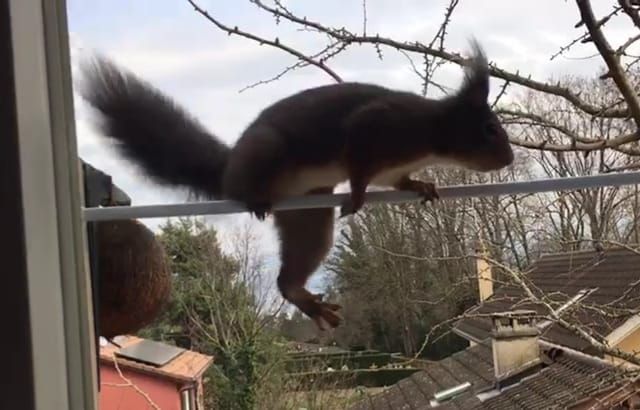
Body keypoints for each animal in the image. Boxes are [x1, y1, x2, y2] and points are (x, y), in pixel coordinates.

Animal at [79, 40, 516, 330]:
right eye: (489, 129)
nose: (510, 159)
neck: (431, 133)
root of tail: (228, 170)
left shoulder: (393, 168)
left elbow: (399, 180)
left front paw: (423, 185)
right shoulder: (375, 127)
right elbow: (358, 165)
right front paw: (358, 193)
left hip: (309, 215)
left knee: (289, 273)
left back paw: (306, 300)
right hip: (268, 154)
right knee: (250, 190)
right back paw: (255, 199)